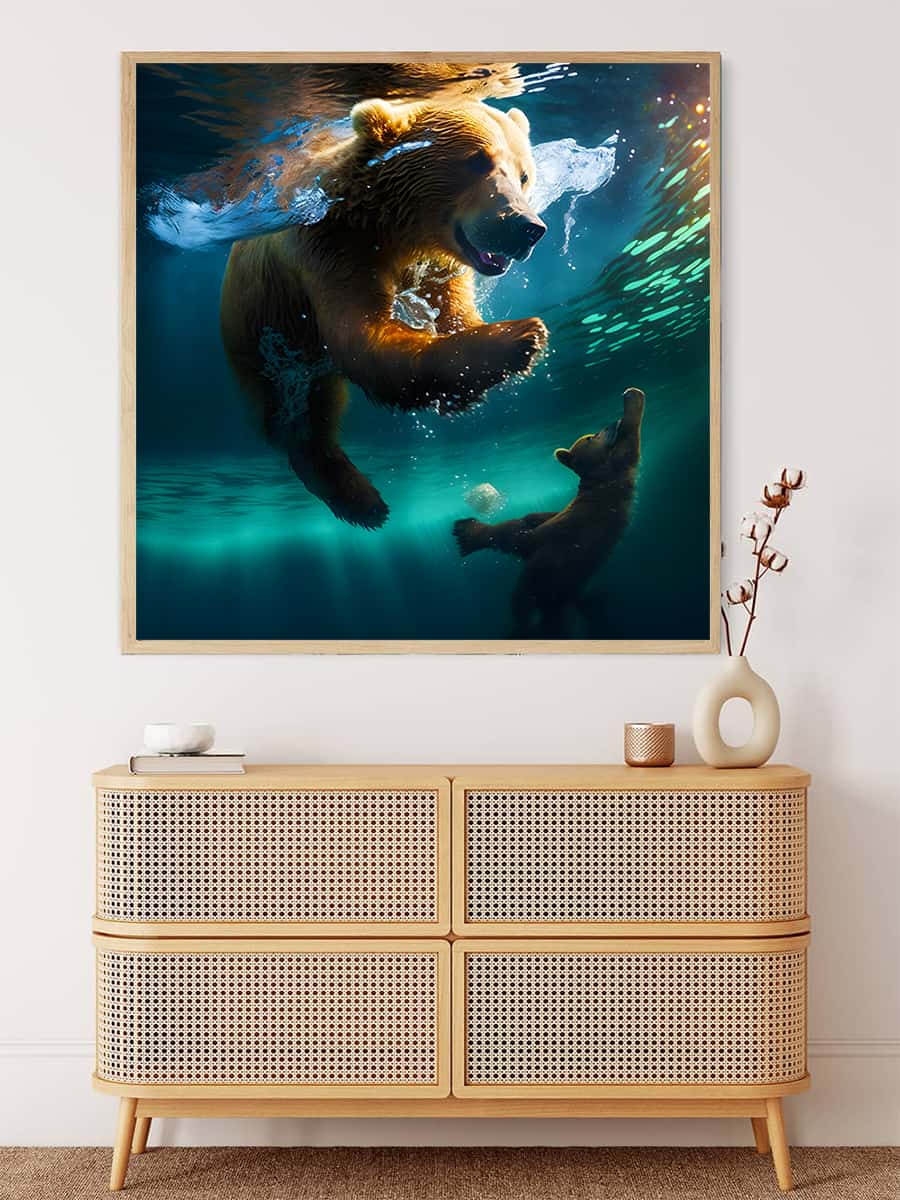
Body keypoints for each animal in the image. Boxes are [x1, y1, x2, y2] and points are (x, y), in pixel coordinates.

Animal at [219, 97, 548, 529]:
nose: (527, 227)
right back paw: (361, 500)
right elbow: (363, 339)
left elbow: (455, 310)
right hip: (262, 343)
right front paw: (519, 337)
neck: (393, 229)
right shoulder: (332, 246)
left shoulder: (438, 265)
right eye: (478, 160)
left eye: (524, 174)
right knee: (303, 418)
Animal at [453, 388, 646, 636]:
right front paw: (632, 399)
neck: (594, 475)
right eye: (591, 436)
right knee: (523, 596)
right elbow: (629, 445)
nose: (611, 423)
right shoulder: (613, 473)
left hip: (556, 577)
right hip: (544, 567)